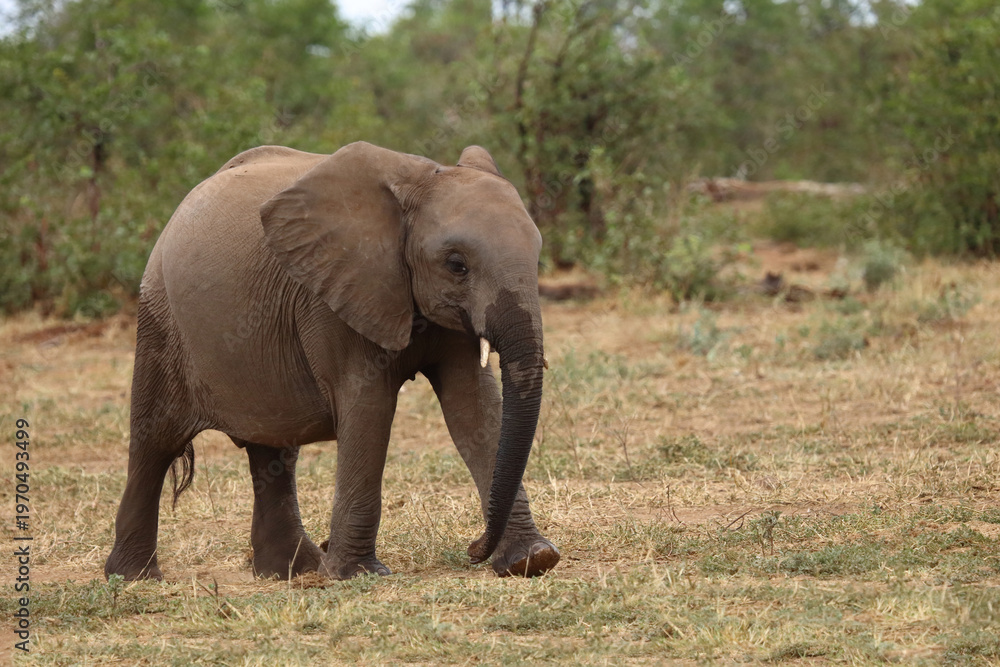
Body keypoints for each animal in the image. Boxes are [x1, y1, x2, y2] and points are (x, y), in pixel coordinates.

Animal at [104, 141, 560, 581]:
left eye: (537, 256)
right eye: (457, 265)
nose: (472, 548)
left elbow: (474, 409)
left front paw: (531, 560)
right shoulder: (331, 298)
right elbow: (369, 409)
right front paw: (358, 574)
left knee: (273, 451)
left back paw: (292, 571)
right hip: (160, 317)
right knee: (155, 443)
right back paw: (134, 577)